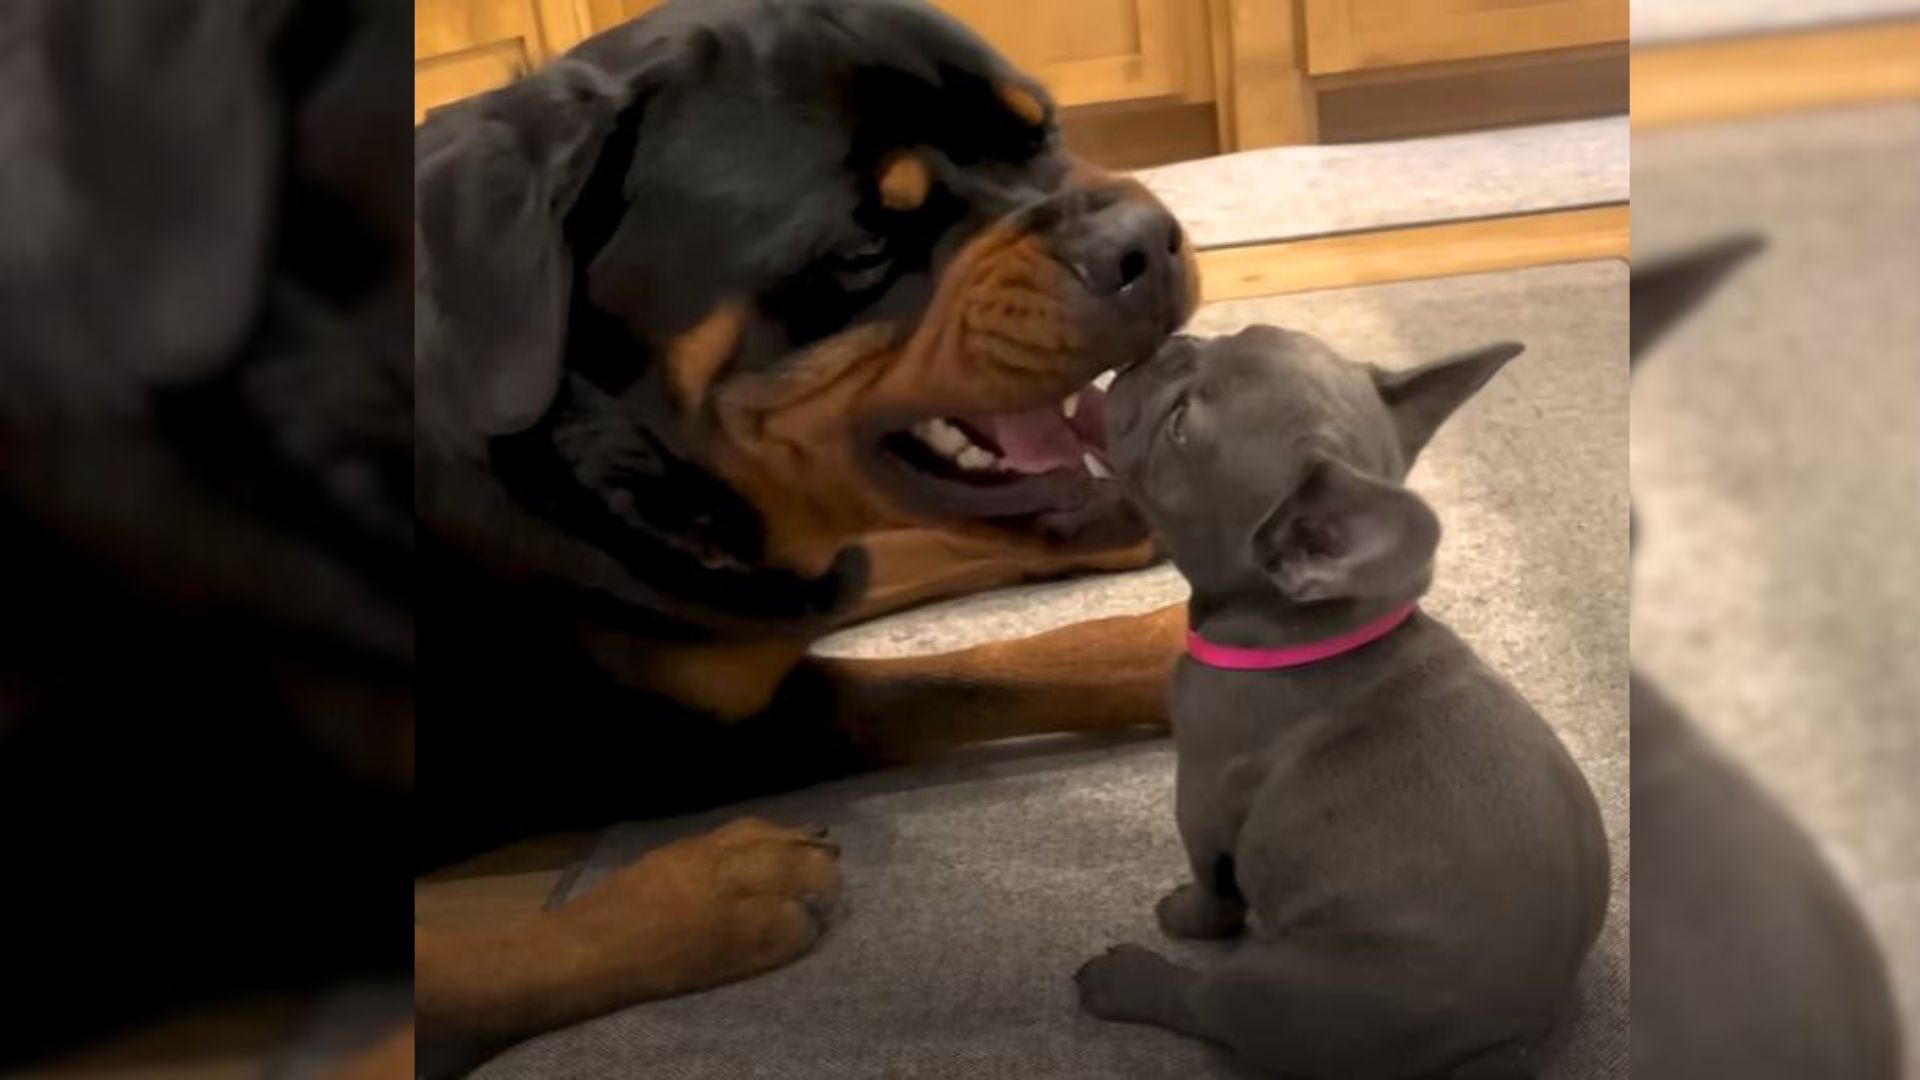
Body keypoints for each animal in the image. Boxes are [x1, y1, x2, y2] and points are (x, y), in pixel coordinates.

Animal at [414, 0, 1198, 1060]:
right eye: (861, 252)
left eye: (1043, 131)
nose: (1142, 241)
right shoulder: (690, 732)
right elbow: (969, 677)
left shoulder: (770, 581)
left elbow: (882, 557)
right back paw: (714, 892)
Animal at [1082, 328, 1605, 1076]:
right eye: (1231, 335)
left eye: (1180, 423)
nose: (1170, 342)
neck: (1314, 630)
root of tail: (1512, 1040)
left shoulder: (1203, 803)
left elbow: (1212, 891)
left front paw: (1180, 915)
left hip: (1272, 986)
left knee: (1205, 1003)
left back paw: (1124, 979)